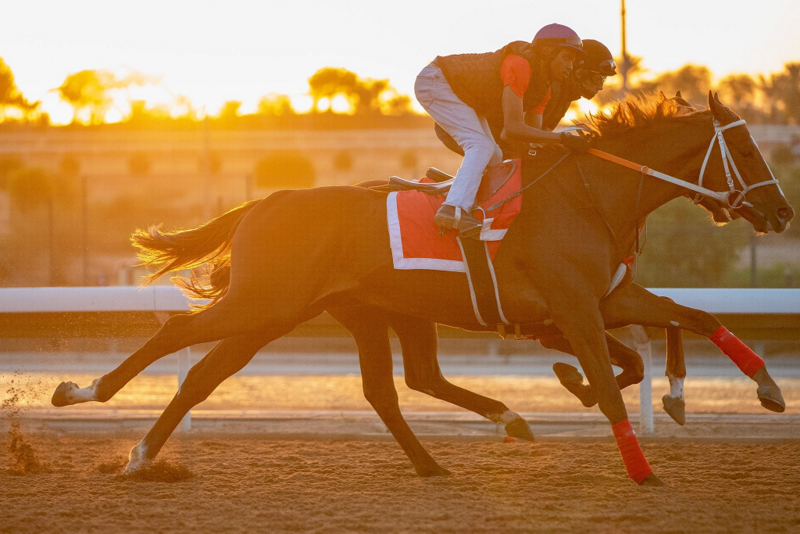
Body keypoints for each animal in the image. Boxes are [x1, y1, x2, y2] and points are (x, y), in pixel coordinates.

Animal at [51, 92, 792, 486]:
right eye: (747, 151)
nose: (781, 212)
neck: (589, 196)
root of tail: (265, 200)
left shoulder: (605, 299)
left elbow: (686, 315)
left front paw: (761, 387)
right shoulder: (576, 307)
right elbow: (614, 381)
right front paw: (641, 467)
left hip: (321, 312)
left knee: (355, 385)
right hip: (267, 303)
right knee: (180, 337)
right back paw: (88, 399)